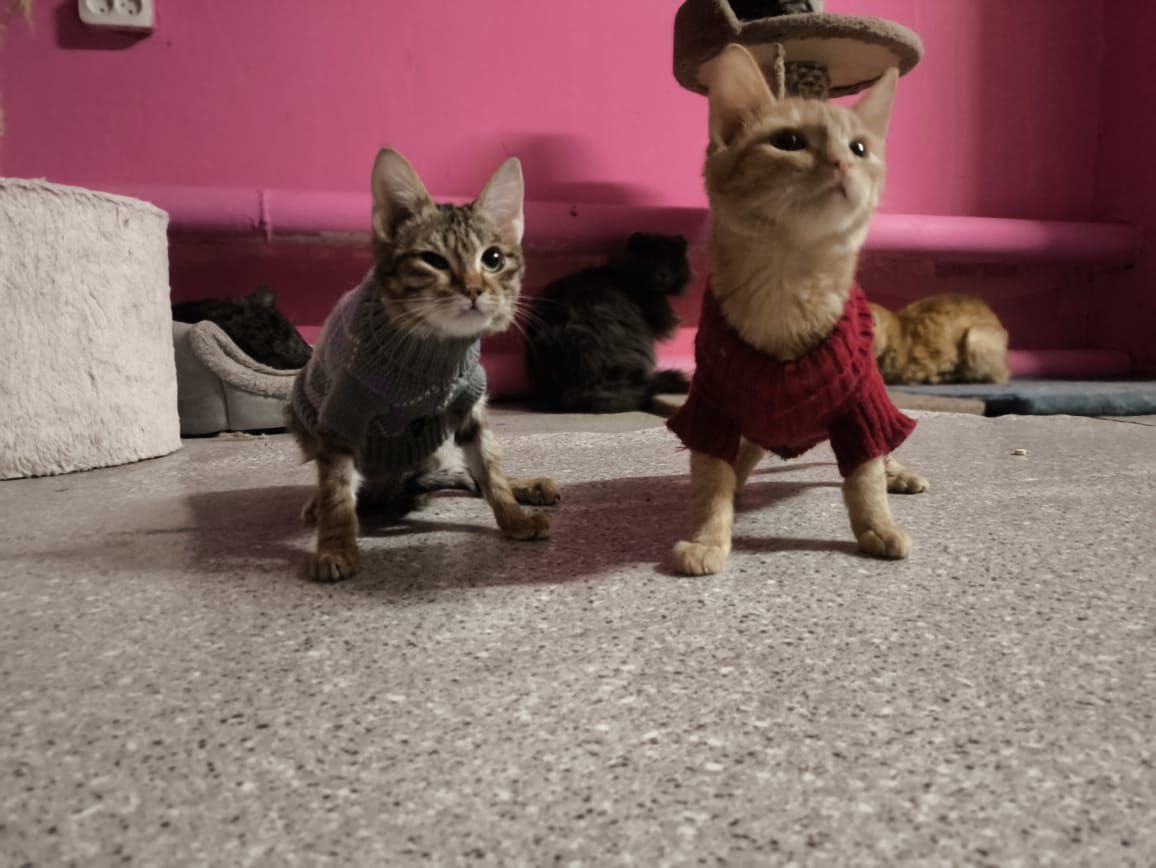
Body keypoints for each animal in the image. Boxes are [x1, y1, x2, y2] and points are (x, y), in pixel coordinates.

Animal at [285, 149, 560, 581]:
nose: (474, 290)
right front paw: (335, 545)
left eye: (493, 259)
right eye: (433, 260)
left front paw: (512, 514)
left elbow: (489, 466)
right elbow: (337, 487)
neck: (432, 346)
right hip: (299, 409)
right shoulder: (343, 410)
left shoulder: (470, 404)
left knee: (466, 473)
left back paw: (524, 486)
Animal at [667, 44, 928, 577]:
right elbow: (710, 481)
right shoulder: (711, 411)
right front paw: (708, 536)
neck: (786, 290)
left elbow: (865, 478)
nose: (842, 163)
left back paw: (898, 474)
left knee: (882, 447)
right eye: (789, 141)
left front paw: (878, 524)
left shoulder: (860, 409)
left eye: (860, 149)